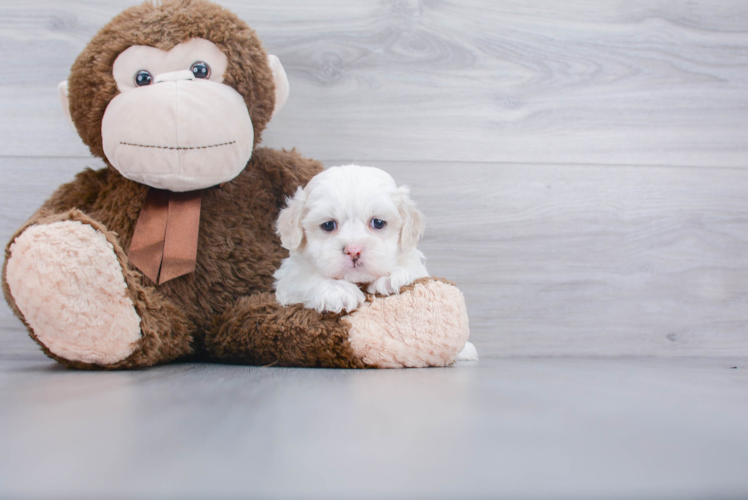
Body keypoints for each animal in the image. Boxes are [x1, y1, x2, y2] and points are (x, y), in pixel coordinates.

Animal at [274, 165, 426, 312]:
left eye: (378, 223)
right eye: (328, 225)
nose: (353, 250)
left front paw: (393, 275)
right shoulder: (290, 278)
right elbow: (306, 278)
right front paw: (338, 290)